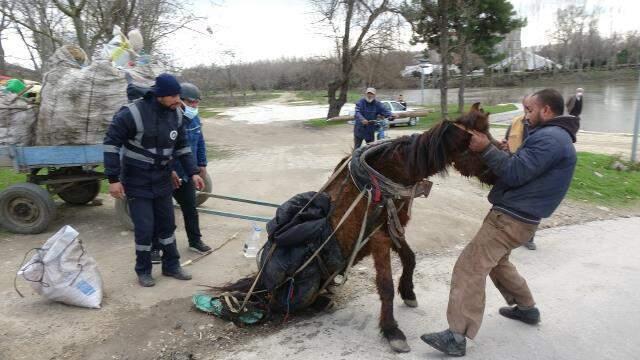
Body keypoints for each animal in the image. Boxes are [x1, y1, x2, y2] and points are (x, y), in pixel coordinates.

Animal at [218, 102, 498, 352]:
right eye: (478, 145)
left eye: (489, 136)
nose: (502, 163)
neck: (386, 177)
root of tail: (262, 281)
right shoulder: (379, 239)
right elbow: (385, 286)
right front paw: (391, 331)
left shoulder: (394, 228)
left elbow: (410, 258)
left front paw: (408, 292)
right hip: (300, 290)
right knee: (278, 306)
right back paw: (315, 302)